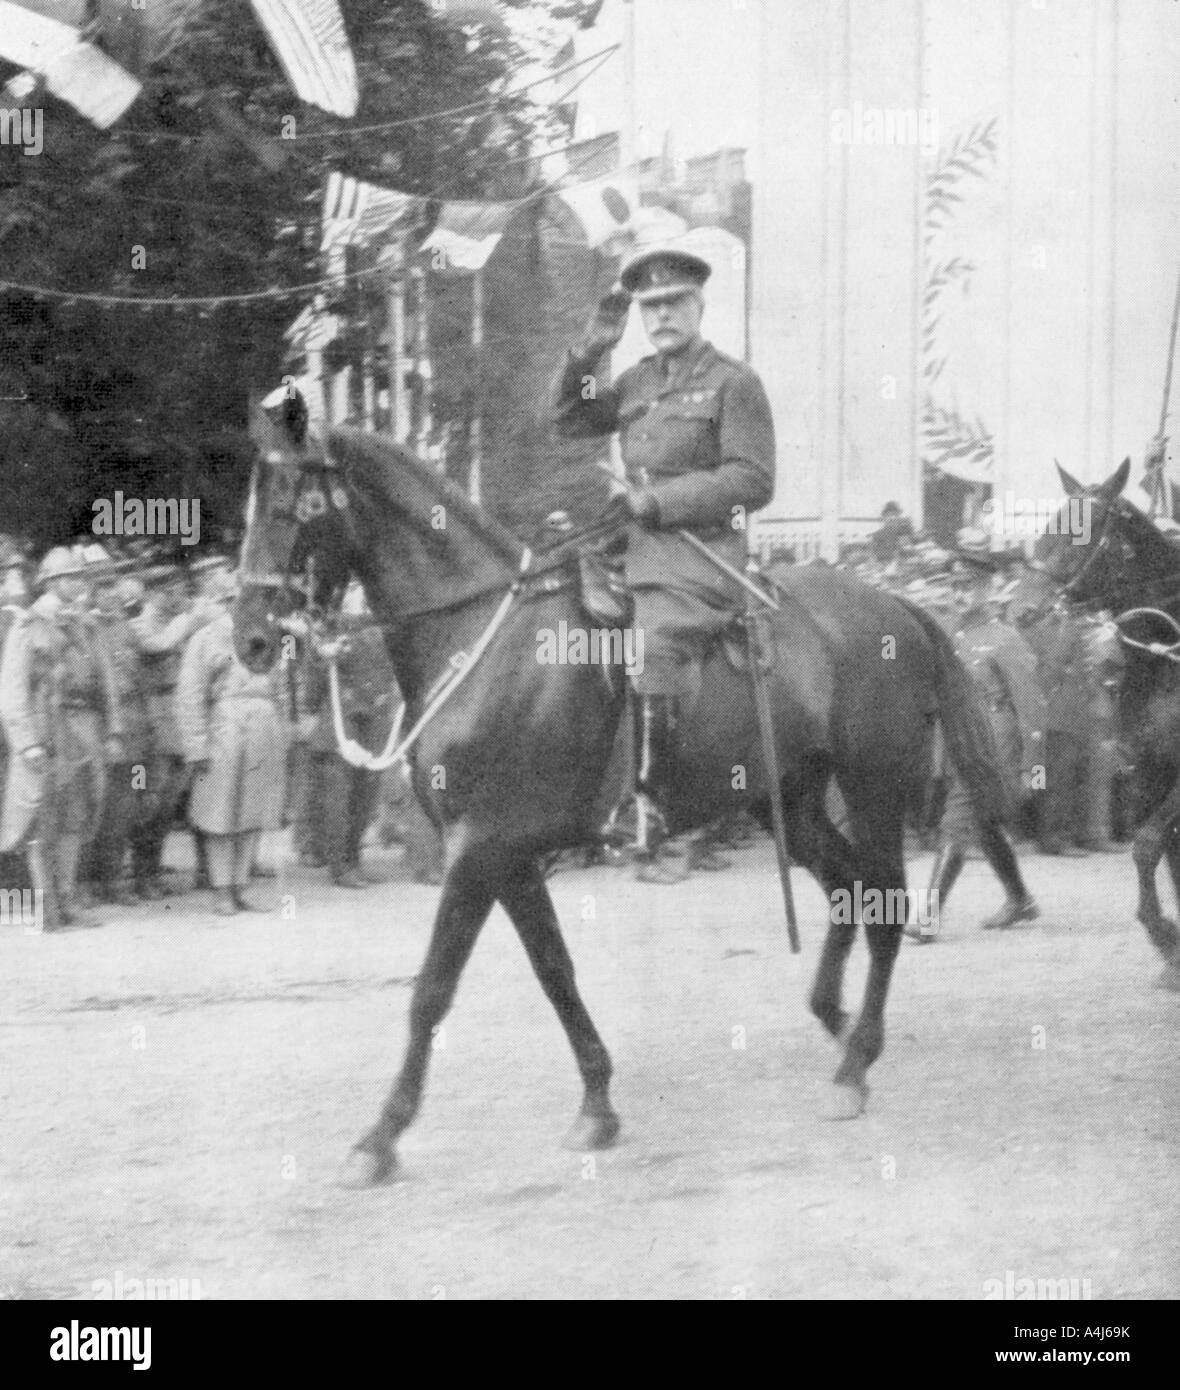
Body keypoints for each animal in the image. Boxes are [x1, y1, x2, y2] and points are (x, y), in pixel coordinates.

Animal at [234, 405, 1006, 1184]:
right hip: (787, 798)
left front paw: (381, 1135)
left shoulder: (479, 849)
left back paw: (854, 1062)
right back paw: (837, 1021)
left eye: (291, 503)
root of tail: (896, 604)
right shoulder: (507, 857)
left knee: (884, 904)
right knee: (848, 886)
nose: (250, 640)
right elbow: (556, 973)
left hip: (872, 788)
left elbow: (431, 991)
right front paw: (598, 1104)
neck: (482, 638)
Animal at [1034, 455, 1178, 989]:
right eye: (1051, 525)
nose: (1026, 608)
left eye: (1085, 528)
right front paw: (1170, 946)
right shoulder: (1147, 771)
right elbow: (1161, 853)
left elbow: (1149, 844)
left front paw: (1164, 936)